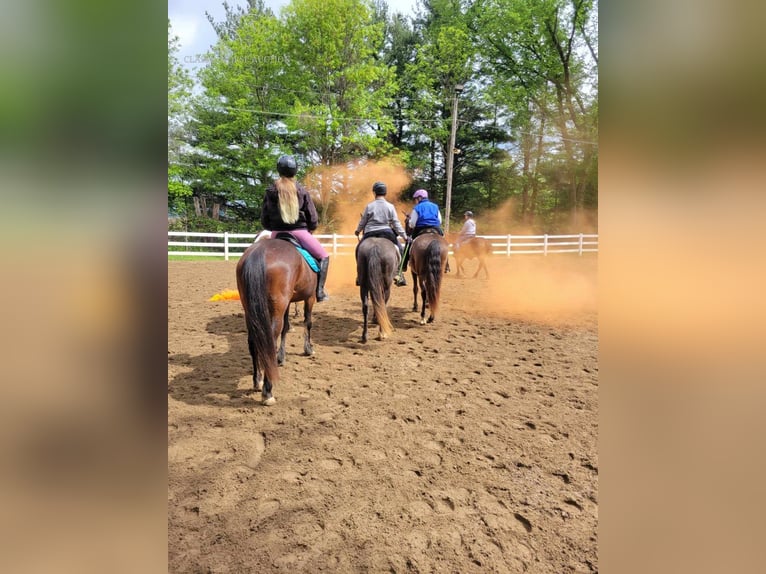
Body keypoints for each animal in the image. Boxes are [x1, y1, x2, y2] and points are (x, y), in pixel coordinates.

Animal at [234, 236, 318, 408]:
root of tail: (259, 252)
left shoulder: (288, 303)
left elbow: (286, 328)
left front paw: (281, 356)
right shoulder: (310, 296)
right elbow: (307, 322)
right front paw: (308, 348)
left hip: (250, 310)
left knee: (254, 341)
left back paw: (258, 380)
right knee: (270, 341)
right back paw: (268, 392)